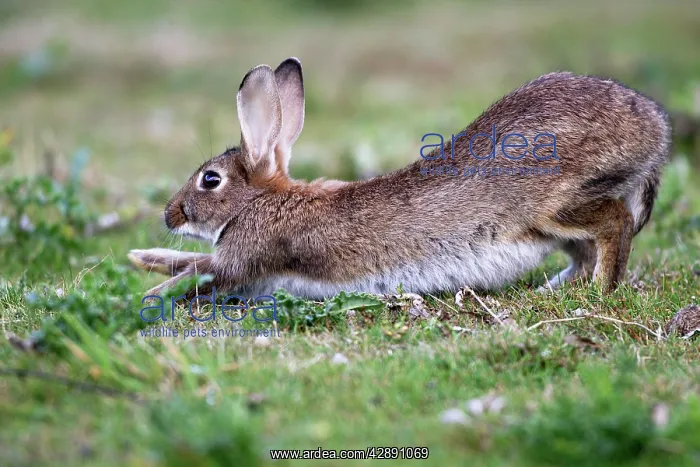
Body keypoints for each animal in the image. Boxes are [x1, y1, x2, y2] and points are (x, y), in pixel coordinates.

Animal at [129, 57, 671, 300]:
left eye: (210, 180)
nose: (169, 214)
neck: (262, 202)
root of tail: (655, 129)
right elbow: (191, 263)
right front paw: (144, 260)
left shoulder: (247, 257)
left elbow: (204, 270)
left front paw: (146, 294)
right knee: (583, 251)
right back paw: (550, 292)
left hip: (555, 203)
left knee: (613, 224)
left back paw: (600, 291)